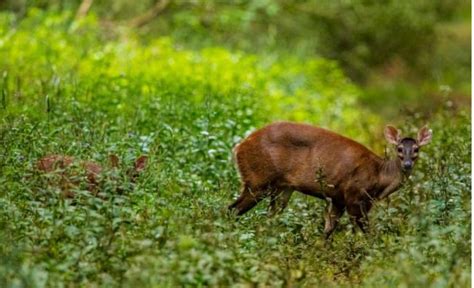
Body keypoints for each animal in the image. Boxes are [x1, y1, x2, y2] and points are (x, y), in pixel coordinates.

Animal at [228, 122, 432, 237]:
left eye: (416, 149)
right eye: (399, 149)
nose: (407, 164)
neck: (378, 178)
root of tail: (239, 147)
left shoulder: (338, 199)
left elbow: (328, 230)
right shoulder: (354, 196)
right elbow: (368, 233)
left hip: (282, 188)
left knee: (267, 220)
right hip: (257, 180)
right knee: (232, 209)